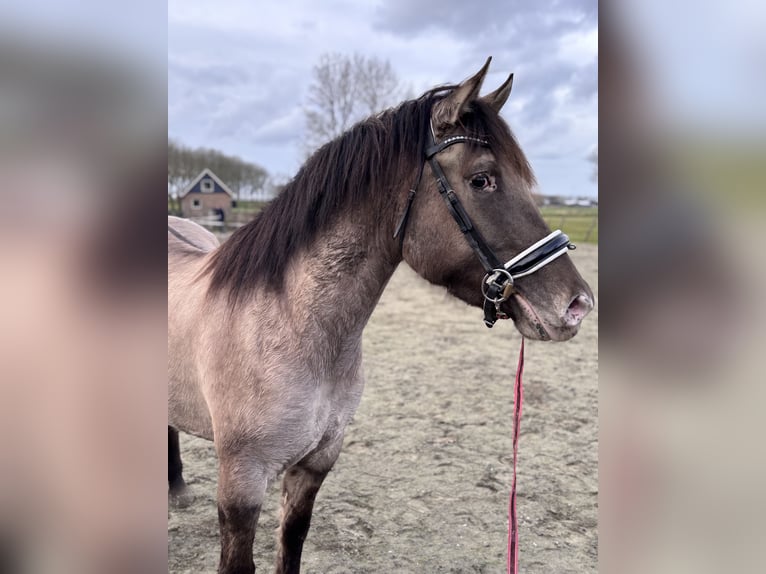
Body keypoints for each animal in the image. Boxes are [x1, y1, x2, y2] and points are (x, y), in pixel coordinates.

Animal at [171, 60, 596, 572]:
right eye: (482, 179)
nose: (577, 304)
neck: (291, 329)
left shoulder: (313, 467)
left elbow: (292, 543)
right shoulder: (241, 486)